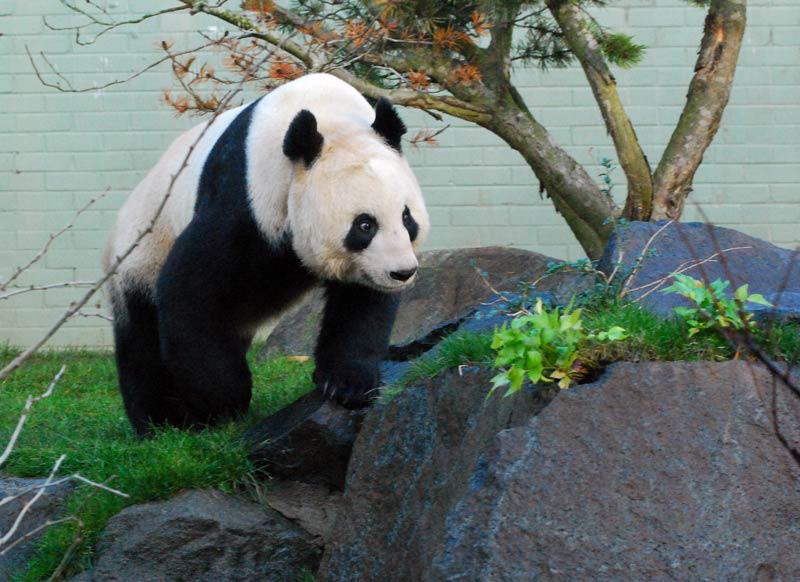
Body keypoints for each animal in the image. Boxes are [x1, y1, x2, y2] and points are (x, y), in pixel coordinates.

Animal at [102, 73, 430, 436]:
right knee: (142, 339)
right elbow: (188, 289)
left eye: (407, 218)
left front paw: (347, 384)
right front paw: (224, 402)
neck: (329, 117)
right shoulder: (245, 200)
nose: (402, 272)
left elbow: (361, 305)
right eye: (364, 225)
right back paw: (160, 420)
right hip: (141, 252)